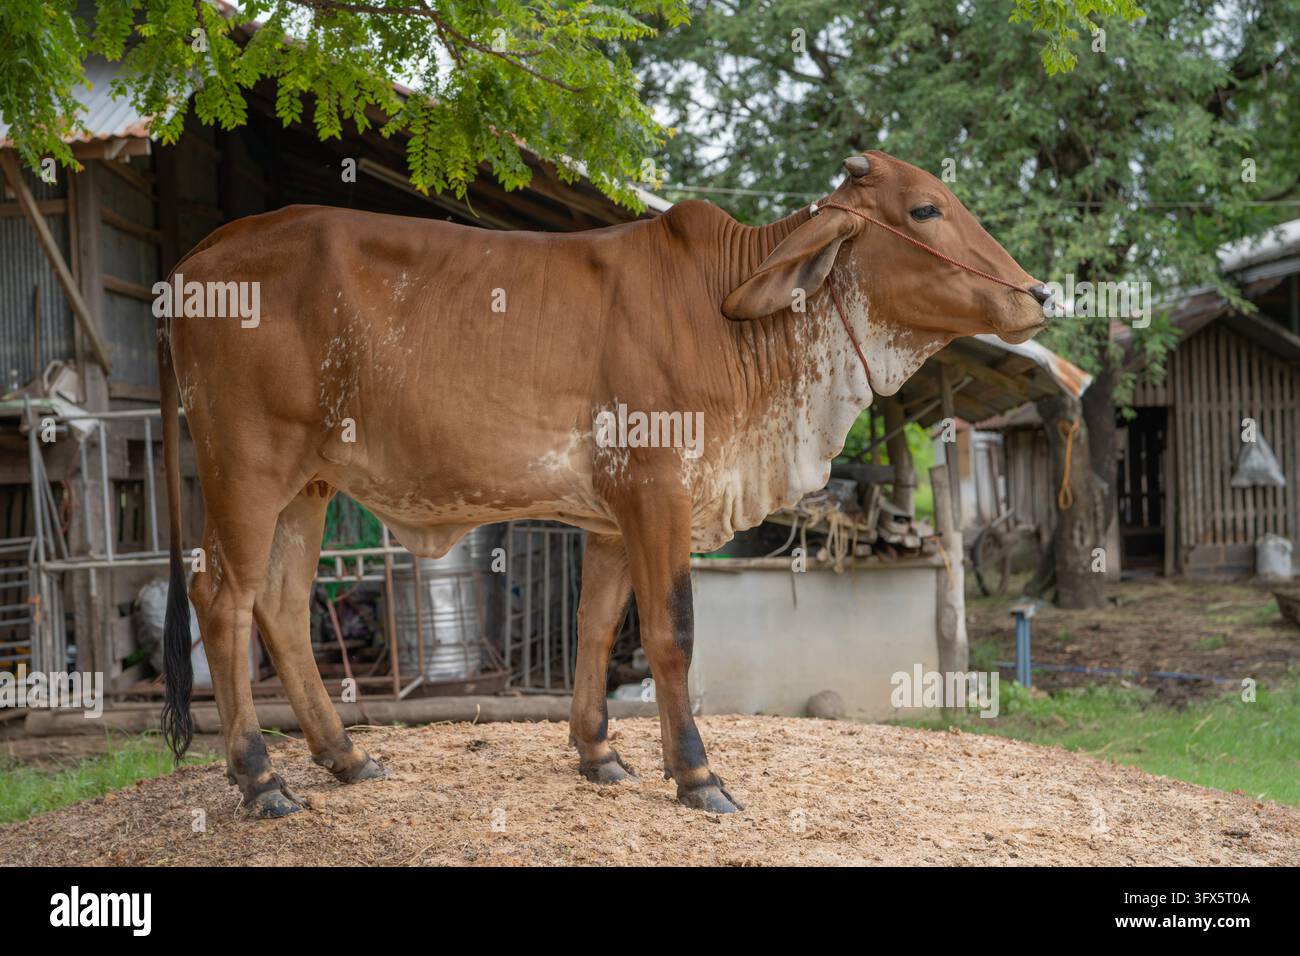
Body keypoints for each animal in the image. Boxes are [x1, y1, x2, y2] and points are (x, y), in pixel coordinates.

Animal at [157, 150, 1051, 816]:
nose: (1038, 292)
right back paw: (260, 779)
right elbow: (671, 634)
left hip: (307, 486)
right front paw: (697, 775)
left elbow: (595, 626)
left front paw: (597, 752)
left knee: (280, 606)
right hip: (247, 469)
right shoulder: (658, 491)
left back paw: (343, 757)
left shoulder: (614, 516)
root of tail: (200, 255)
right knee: (224, 602)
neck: (733, 324)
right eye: (926, 210)